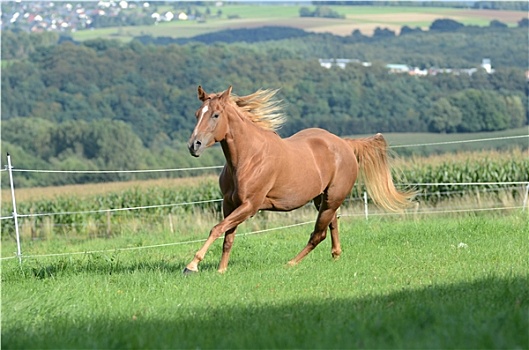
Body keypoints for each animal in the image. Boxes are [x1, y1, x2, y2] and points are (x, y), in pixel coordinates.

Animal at [185, 85, 412, 274]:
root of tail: (345, 144)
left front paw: (192, 265)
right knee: (332, 224)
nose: (194, 145)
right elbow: (227, 236)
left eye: (215, 115)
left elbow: (217, 228)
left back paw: (291, 263)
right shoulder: (229, 203)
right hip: (322, 199)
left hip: (332, 199)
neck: (248, 157)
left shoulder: (250, 205)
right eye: (196, 114)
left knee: (318, 234)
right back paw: (335, 255)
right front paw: (221, 270)